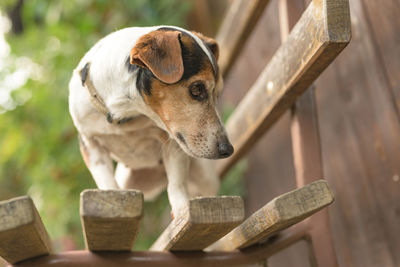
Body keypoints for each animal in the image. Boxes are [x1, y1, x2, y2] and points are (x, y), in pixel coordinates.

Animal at [67, 25, 233, 218]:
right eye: (196, 89)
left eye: (217, 94)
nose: (228, 150)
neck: (128, 113)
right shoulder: (90, 143)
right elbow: (106, 180)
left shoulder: (173, 144)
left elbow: (176, 183)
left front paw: (181, 209)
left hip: (206, 178)